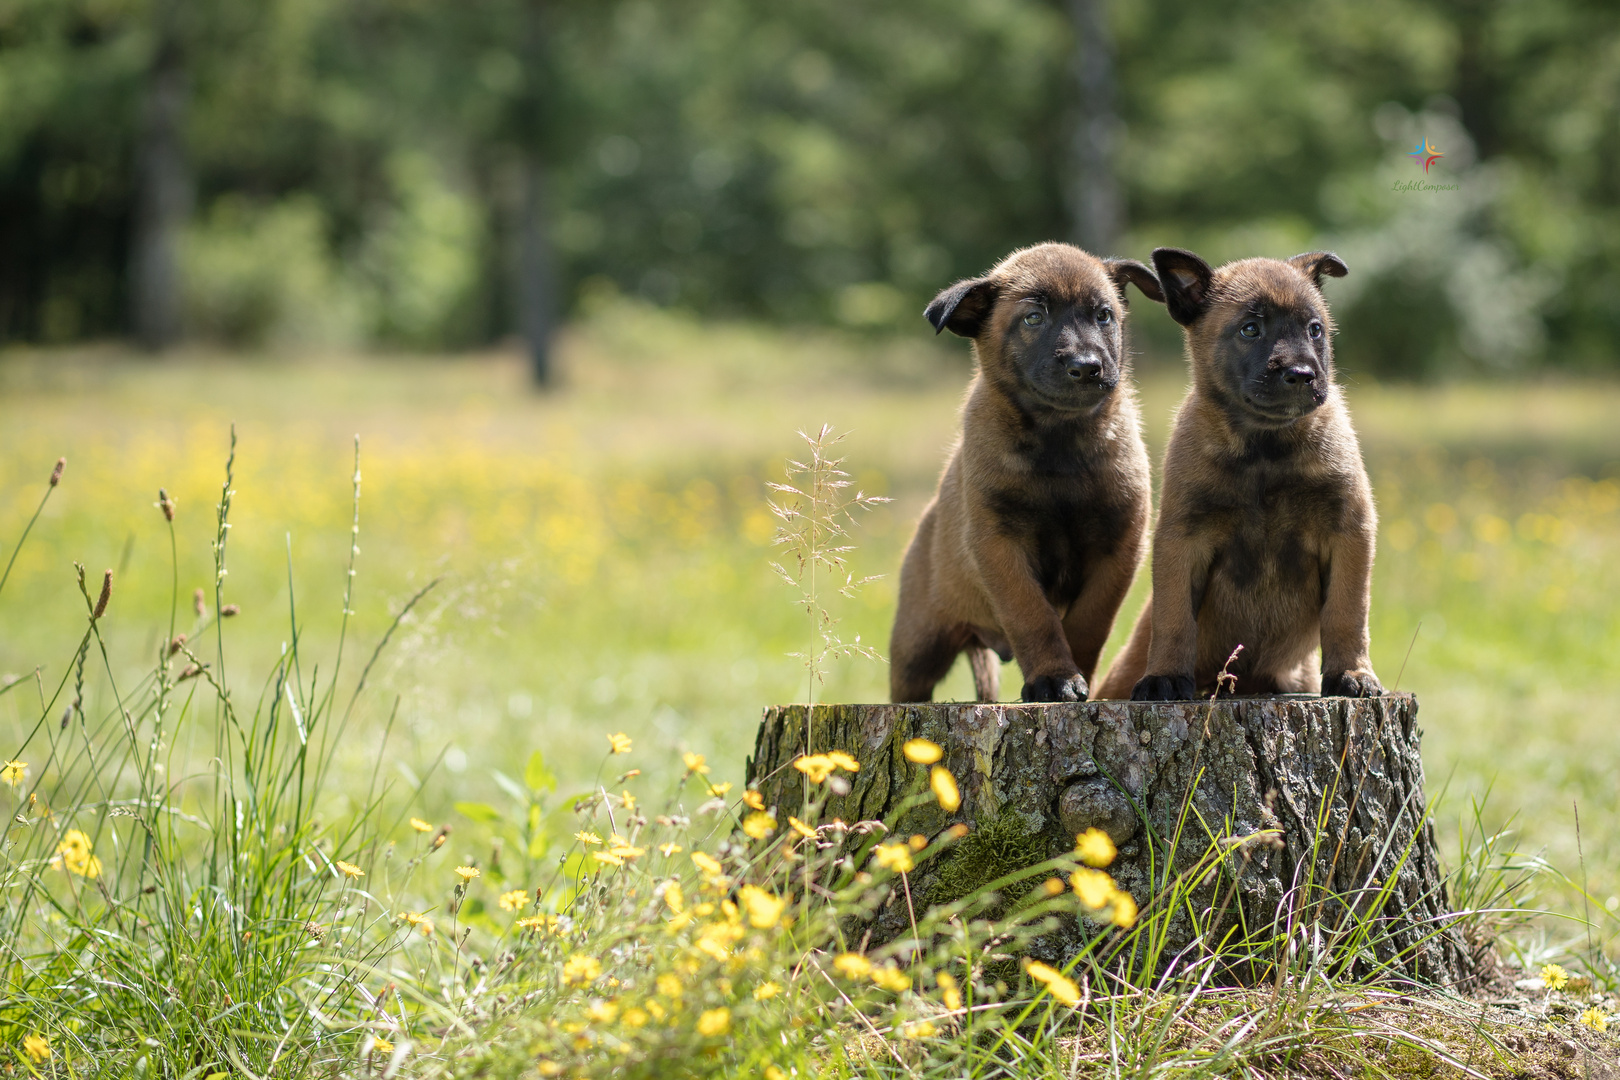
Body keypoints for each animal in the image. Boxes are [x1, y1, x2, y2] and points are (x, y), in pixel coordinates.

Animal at [887, 241, 1166, 705]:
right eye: (1033, 318)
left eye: (1103, 315)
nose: (1086, 367)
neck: (1060, 441)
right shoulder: (1000, 545)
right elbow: (1033, 616)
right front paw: (1054, 678)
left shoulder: (1118, 547)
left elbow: (1088, 625)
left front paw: (1077, 678)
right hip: (917, 645)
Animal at [1088, 247, 1380, 702]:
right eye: (1250, 329)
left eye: (1315, 329)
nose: (1301, 375)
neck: (1265, 450)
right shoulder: (1181, 539)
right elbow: (1174, 618)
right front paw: (1165, 677)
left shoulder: (1349, 530)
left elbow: (1348, 612)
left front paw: (1352, 673)